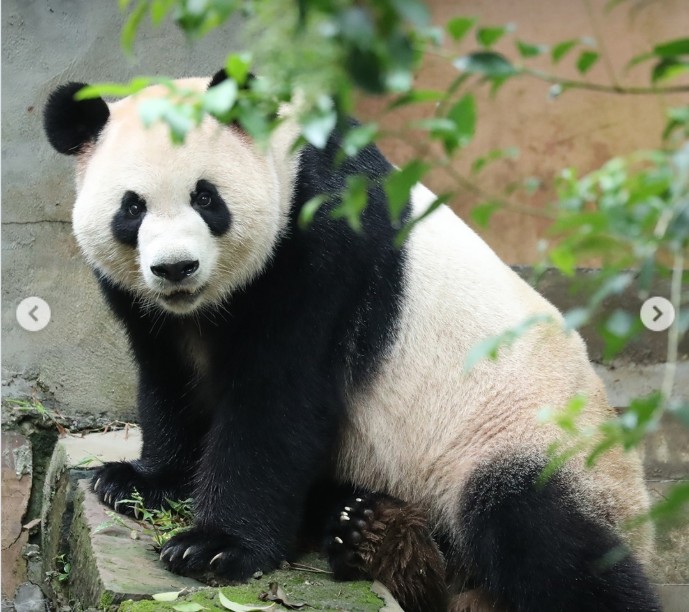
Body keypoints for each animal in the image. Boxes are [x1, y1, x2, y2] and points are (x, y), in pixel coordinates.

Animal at [44, 71, 660, 612]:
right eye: (132, 206)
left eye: (206, 199)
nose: (176, 268)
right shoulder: (151, 311)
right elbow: (169, 380)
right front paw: (139, 481)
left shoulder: (323, 243)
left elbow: (280, 399)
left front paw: (213, 546)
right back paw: (365, 533)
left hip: (527, 438)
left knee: (544, 537)